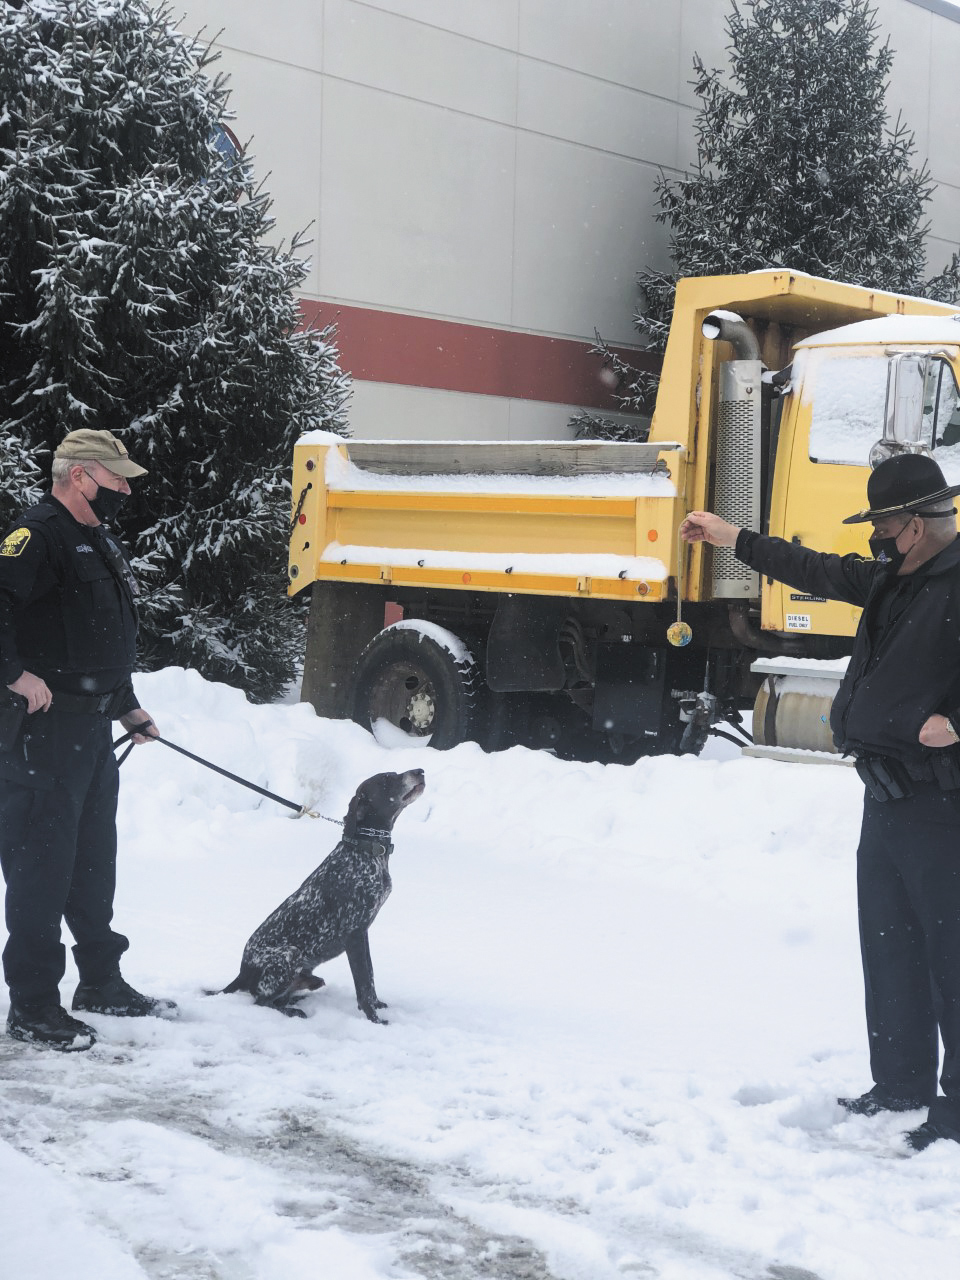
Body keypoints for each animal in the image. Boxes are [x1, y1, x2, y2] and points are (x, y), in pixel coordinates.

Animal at [224, 768, 427, 1018]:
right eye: (387, 779)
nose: (420, 771)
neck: (364, 851)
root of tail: (241, 973)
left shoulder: (363, 933)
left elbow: (370, 977)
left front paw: (377, 1006)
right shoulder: (354, 935)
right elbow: (364, 984)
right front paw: (374, 1018)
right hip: (289, 954)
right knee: (261, 1002)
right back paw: (292, 1012)